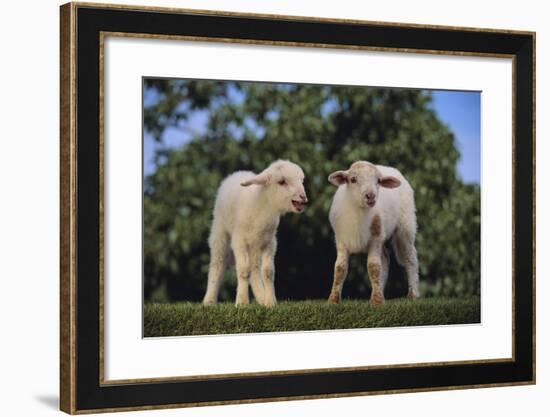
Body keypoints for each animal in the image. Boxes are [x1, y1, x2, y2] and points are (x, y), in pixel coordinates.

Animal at [203, 159, 308, 306]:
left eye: (301, 180)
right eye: (282, 182)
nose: (303, 197)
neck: (263, 207)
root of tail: (238, 172)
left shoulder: (270, 243)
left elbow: (268, 272)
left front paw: (270, 302)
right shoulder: (239, 241)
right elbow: (243, 270)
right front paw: (242, 302)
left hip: (255, 244)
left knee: (254, 268)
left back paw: (261, 297)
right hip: (220, 231)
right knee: (217, 264)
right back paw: (209, 300)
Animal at [326, 161, 420, 304]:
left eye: (378, 181)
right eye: (353, 179)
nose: (370, 196)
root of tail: (389, 168)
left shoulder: (376, 238)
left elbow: (373, 267)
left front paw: (377, 302)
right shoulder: (341, 240)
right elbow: (340, 269)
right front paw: (333, 300)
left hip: (406, 225)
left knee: (410, 258)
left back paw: (413, 294)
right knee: (385, 259)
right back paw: (380, 290)